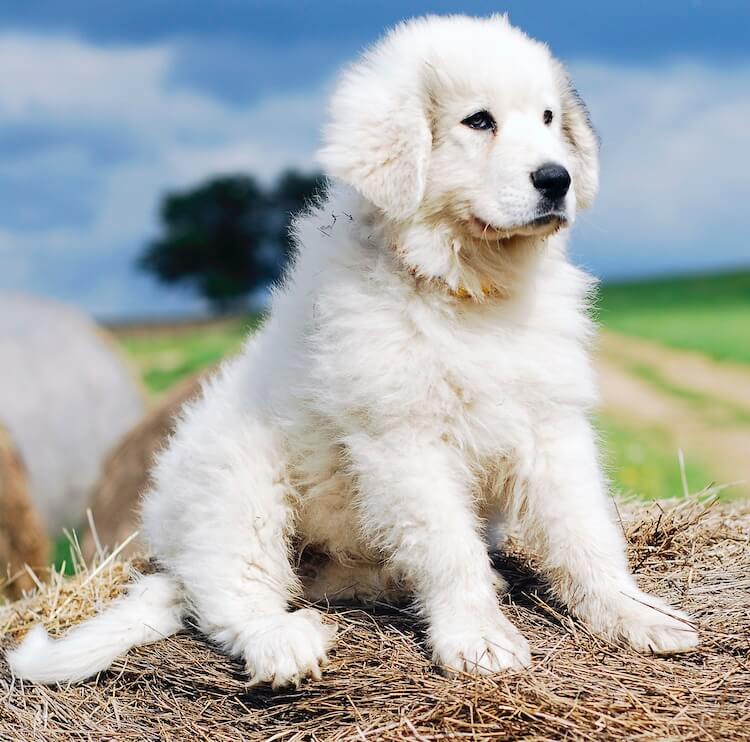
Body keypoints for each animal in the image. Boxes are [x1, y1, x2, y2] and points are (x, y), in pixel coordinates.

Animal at [7, 14, 700, 692]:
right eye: (479, 121)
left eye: (550, 119)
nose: (557, 179)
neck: (467, 288)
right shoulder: (405, 439)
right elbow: (448, 548)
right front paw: (478, 639)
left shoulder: (550, 424)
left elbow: (585, 534)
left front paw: (636, 616)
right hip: (235, 482)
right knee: (232, 595)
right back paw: (283, 643)